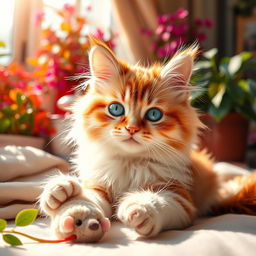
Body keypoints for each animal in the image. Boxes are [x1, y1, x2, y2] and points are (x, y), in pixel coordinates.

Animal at [39, 38, 256, 242]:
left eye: (154, 114)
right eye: (116, 109)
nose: (132, 129)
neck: (130, 163)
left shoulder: (182, 198)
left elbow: (161, 202)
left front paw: (141, 209)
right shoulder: (98, 185)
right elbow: (87, 197)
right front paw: (65, 198)